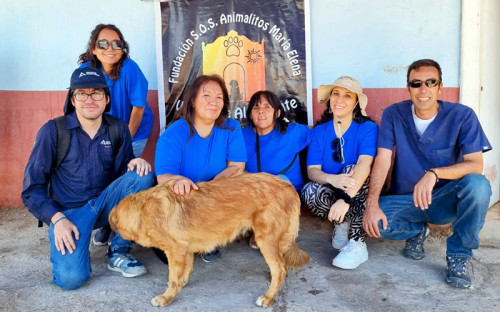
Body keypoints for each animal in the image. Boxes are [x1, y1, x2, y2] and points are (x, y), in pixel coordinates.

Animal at [109, 173, 308, 308]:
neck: (143, 210)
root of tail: (287, 186)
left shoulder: (175, 250)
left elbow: (173, 278)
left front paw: (167, 297)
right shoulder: (185, 248)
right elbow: (185, 270)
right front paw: (181, 283)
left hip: (265, 240)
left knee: (280, 270)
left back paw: (268, 298)